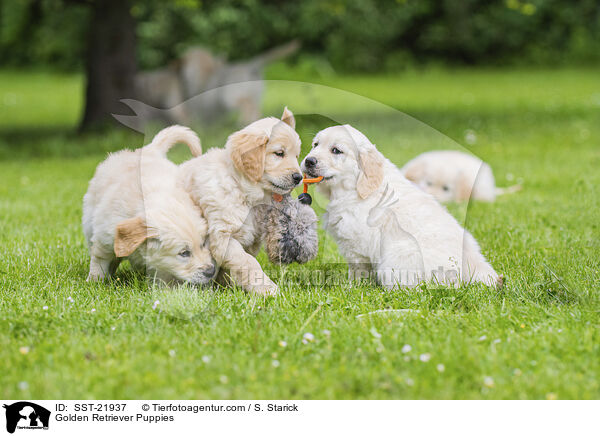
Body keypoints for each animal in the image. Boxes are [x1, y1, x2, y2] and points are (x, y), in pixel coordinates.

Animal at [82, 125, 216, 286]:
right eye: (184, 253)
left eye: (203, 244)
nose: (211, 271)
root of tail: (149, 149)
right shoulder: (105, 236)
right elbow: (100, 260)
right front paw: (94, 282)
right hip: (89, 221)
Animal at [177, 108, 300, 296]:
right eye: (279, 153)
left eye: (297, 155)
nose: (299, 177)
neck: (243, 190)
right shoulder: (221, 236)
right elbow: (247, 262)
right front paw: (267, 288)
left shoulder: (252, 240)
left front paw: (227, 286)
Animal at [300, 125, 502, 290]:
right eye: (315, 144)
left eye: (336, 150)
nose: (309, 161)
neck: (356, 186)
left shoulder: (355, 246)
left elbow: (358, 270)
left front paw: (351, 287)